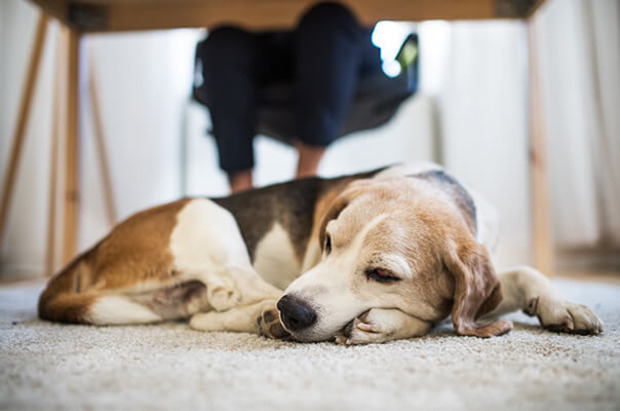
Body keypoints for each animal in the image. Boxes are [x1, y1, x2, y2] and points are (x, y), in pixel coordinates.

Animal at [37, 164, 600, 344]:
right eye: (327, 241)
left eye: (382, 273)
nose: (293, 312)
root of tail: (97, 245)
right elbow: (436, 316)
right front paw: (389, 322)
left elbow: (525, 272)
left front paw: (565, 306)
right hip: (210, 216)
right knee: (230, 295)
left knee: (206, 313)